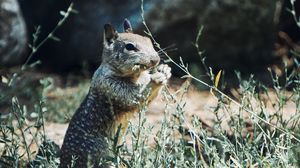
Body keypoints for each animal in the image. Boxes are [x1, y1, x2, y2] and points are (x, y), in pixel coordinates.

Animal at [58, 19, 171, 167]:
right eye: (129, 47)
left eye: (148, 41)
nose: (156, 60)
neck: (136, 76)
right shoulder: (111, 86)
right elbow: (134, 97)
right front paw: (157, 78)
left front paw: (165, 69)